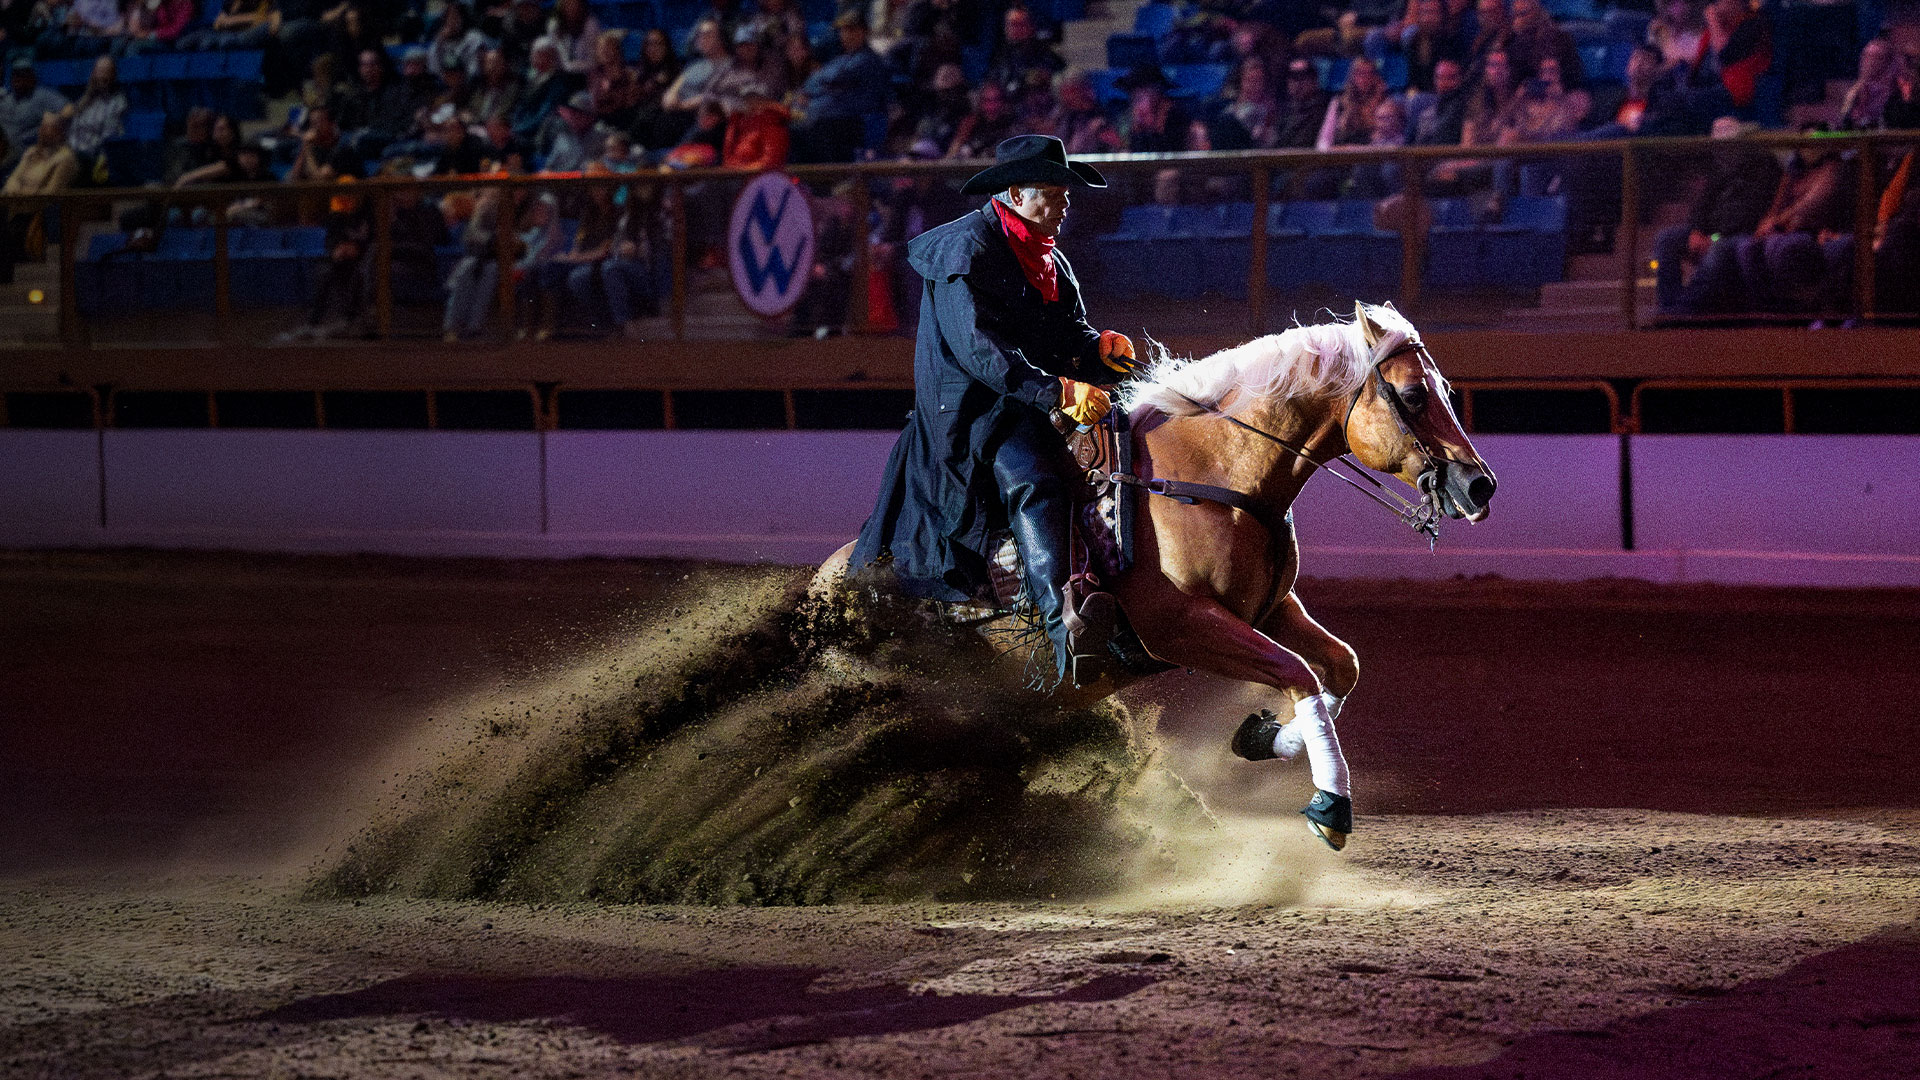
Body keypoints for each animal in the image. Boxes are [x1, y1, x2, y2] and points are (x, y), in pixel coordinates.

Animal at [812, 303, 1497, 851]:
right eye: (1413, 395)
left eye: (1443, 387)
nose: (1480, 486)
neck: (1208, 474)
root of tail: (829, 586)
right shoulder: (1183, 628)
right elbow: (1299, 672)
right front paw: (1330, 805)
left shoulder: (1271, 609)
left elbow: (1339, 666)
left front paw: (1262, 736)